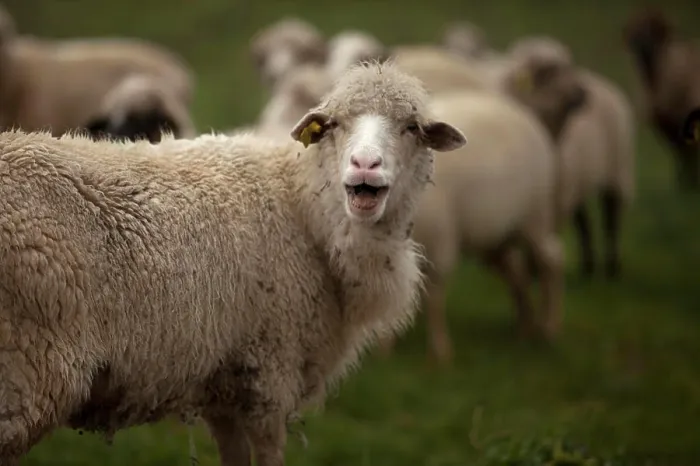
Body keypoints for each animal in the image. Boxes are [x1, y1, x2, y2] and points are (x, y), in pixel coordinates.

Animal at [0, 61, 466, 466]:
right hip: (26, 373)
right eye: (333, 125)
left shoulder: (224, 382)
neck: (302, 205)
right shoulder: (269, 374)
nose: (364, 165)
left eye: (412, 128)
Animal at [506, 36, 635, 279]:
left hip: (619, 167)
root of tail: (597, 78)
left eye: (568, 65)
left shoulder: (554, 200)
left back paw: (612, 266)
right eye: (548, 71)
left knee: (612, 213)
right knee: (584, 220)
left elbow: (547, 237)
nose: (583, 92)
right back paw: (588, 265)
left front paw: (535, 270)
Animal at [623, 7, 700, 189]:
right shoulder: (668, 126)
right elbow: (682, 158)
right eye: (635, 28)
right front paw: (685, 187)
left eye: (655, 29)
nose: (638, 44)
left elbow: (687, 157)